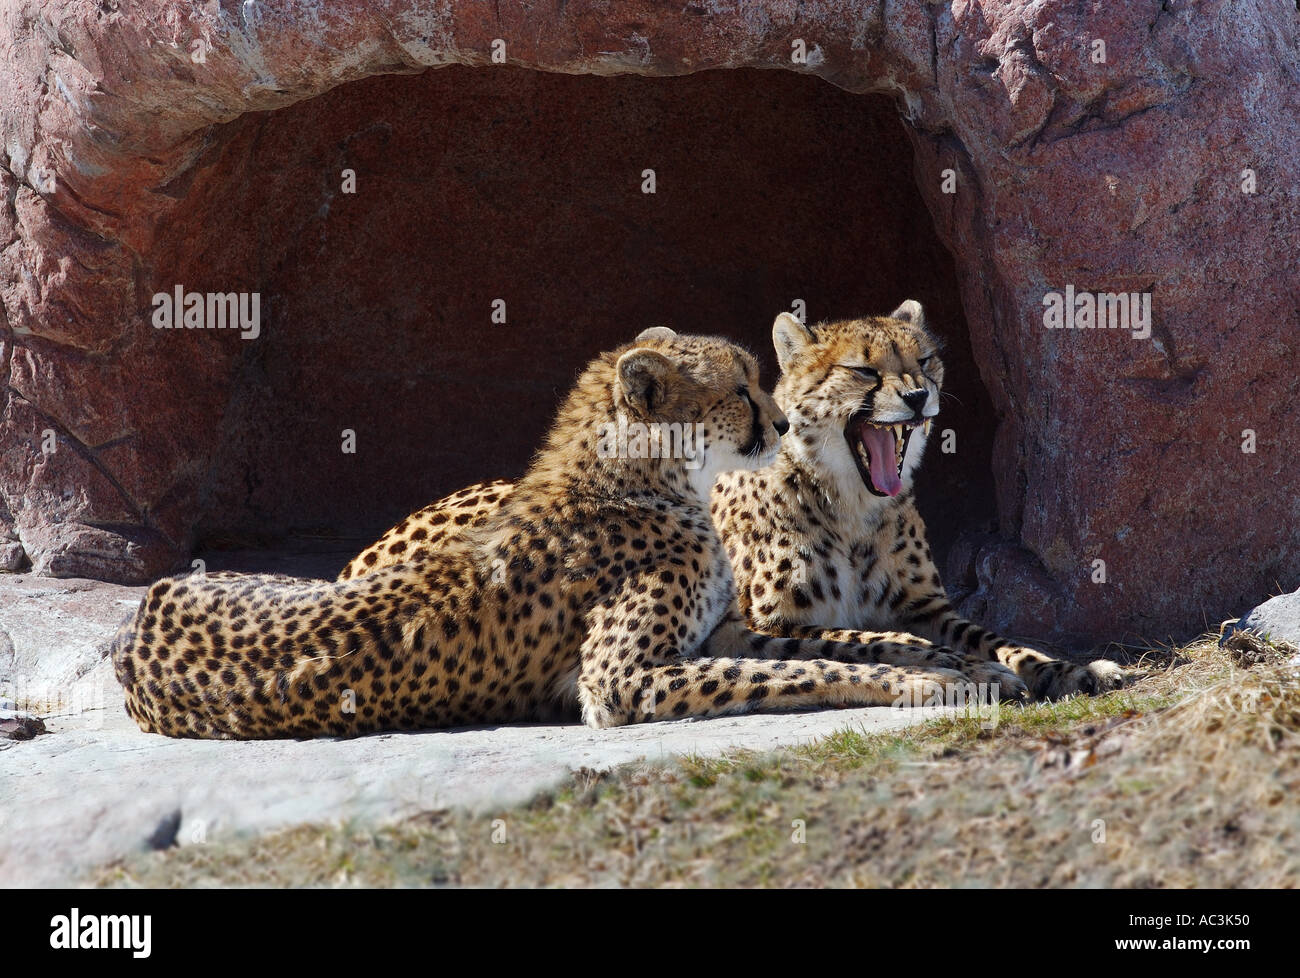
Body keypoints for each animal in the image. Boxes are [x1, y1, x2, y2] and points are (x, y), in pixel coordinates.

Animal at [109, 330, 1013, 738]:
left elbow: (844, 640)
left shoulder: (721, 627)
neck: (650, 482)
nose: (786, 421)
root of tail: (139, 619)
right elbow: (801, 671)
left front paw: (958, 661)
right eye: (740, 390)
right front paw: (924, 684)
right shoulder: (621, 680)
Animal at [348, 304, 1128, 697]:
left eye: (926, 359)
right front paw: (960, 671)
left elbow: (996, 637)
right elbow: (853, 639)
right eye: (863, 370)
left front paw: (1067, 667)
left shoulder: (925, 606)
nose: (918, 397)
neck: (851, 504)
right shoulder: (763, 617)